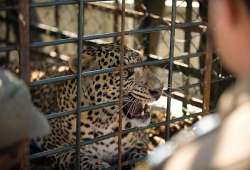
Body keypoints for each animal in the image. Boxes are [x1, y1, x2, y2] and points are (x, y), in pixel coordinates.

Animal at [31, 41, 164, 170]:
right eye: (125, 72)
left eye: (144, 64)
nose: (159, 89)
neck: (106, 123)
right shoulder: (55, 147)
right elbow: (78, 158)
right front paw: (98, 165)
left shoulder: (141, 140)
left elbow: (141, 157)